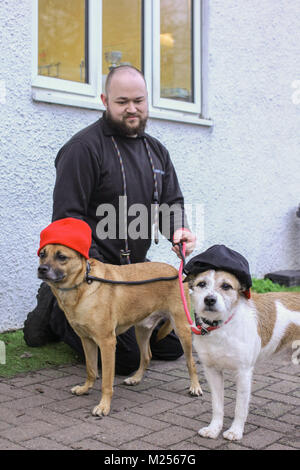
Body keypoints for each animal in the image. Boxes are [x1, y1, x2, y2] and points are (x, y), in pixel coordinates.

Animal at [37, 244, 202, 416]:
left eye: (61, 257)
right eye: (42, 255)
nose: (41, 269)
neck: (82, 285)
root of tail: (175, 270)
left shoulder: (107, 343)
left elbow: (106, 382)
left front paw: (104, 406)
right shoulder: (87, 340)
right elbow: (91, 370)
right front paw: (85, 388)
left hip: (182, 329)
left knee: (191, 362)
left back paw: (195, 387)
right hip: (141, 330)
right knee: (147, 356)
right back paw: (136, 378)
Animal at [185, 246, 300, 440]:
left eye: (226, 286)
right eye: (201, 284)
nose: (209, 299)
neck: (222, 326)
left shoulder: (244, 373)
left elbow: (240, 408)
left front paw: (235, 431)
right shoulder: (212, 371)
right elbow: (217, 405)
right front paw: (214, 428)